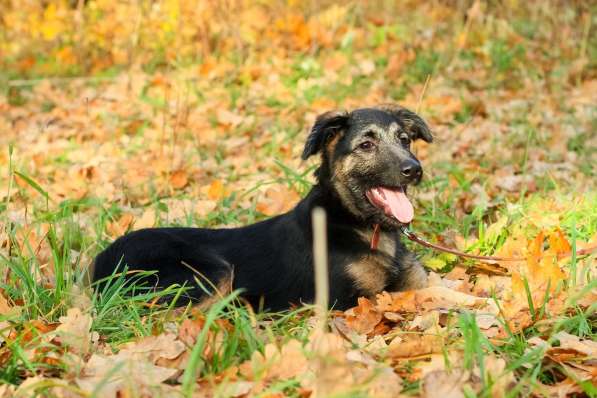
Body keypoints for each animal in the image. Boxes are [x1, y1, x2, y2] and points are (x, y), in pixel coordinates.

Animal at [91, 105, 430, 310]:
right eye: (366, 145)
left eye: (405, 140)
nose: (414, 169)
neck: (357, 221)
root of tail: (96, 264)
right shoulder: (348, 300)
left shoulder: (417, 283)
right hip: (209, 272)